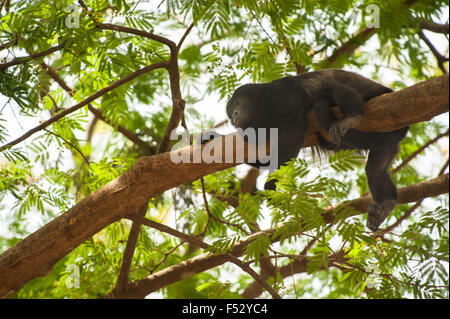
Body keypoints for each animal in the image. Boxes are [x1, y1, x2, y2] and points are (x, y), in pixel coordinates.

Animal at [210, 69, 408, 231]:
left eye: (238, 103)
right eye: (230, 113)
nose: (234, 116)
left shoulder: (281, 97)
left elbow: (293, 133)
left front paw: (271, 183)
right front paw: (211, 137)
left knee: (333, 89)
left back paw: (353, 116)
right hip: (388, 144)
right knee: (375, 170)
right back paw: (386, 204)